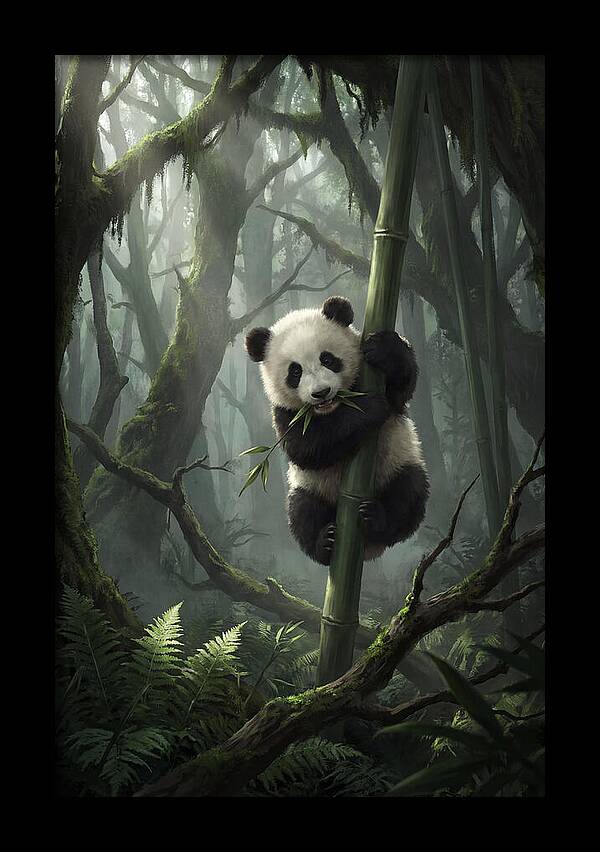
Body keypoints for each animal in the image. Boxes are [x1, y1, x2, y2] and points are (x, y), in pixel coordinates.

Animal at [245, 295, 429, 566]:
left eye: (328, 359)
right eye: (295, 371)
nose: (321, 393)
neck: (333, 408)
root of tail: (368, 550)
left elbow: (401, 388)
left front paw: (384, 350)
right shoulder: (284, 413)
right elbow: (306, 447)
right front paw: (369, 407)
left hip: (398, 463)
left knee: (408, 493)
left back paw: (376, 519)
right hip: (310, 487)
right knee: (302, 512)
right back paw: (326, 543)